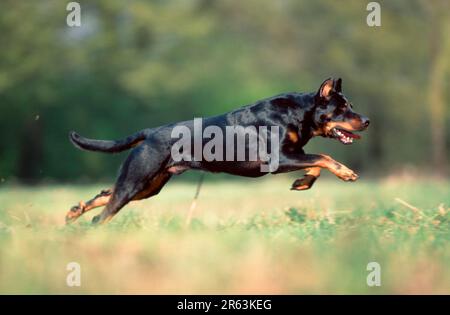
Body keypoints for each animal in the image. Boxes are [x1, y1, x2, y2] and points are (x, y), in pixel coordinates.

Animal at [67, 78, 370, 225]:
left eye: (351, 105)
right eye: (342, 108)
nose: (367, 120)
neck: (298, 113)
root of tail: (150, 132)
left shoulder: (294, 153)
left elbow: (316, 163)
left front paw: (303, 182)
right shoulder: (279, 159)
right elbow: (324, 157)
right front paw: (346, 173)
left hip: (149, 185)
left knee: (105, 195)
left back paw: (74, 211)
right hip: (138, 179)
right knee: (104, 212)